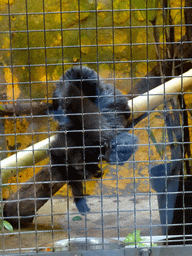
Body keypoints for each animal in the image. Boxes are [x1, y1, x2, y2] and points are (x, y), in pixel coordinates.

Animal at [50, 65, 138, 214]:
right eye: (79, 171)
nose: (83, 173)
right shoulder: (61, 149)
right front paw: (79, 197)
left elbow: (129, 142)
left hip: (110, 94)